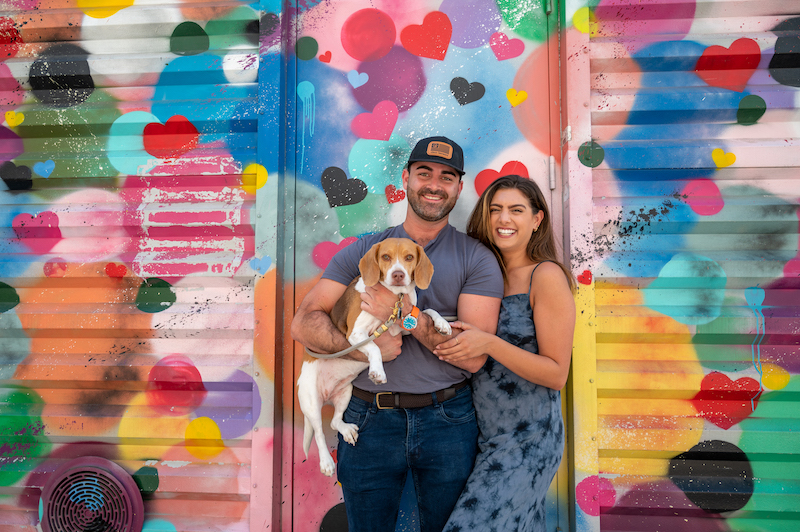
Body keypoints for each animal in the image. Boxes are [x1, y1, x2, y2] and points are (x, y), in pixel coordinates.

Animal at [296, 239, 454, 476]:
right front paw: (378, 371)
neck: (396, 297)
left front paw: (442, 323)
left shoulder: (403, 328)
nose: (398, 274)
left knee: (334, 422)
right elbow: (375, 349)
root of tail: (326, 395)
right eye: (386, 257)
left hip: (345, 392)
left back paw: (346, 429)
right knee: (320, 432)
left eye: (409, 257)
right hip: (311, 401)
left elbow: (426, 310)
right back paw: (326, 462)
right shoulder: (356, 334)